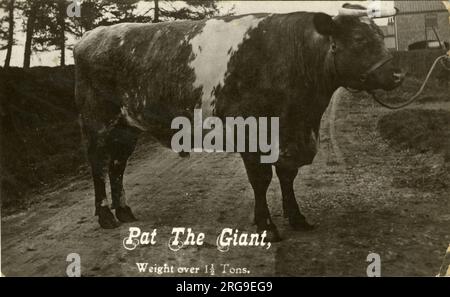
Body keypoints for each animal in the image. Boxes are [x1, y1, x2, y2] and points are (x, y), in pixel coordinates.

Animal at [74, 4, 404, 240]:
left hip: (126, 127)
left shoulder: (290, 137)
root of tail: (91, 37)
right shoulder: (251, 133)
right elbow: (261, 179)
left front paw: (297, 218)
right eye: (359, 39)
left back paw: (124, 211)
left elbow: (287, 176)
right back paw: (105, 216)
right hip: (96, 123)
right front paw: (267, 226)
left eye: (380, 36)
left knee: (117, 167)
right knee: (98, 166)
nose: (397, 74)